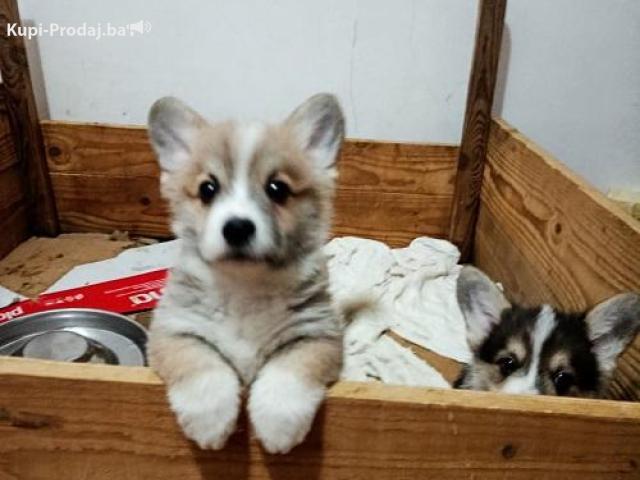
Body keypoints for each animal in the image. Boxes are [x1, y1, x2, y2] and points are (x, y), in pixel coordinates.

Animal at [146, 93, 345, 453]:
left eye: (277, 189)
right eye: (207, 189)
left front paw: (277, 426)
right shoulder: (173, 330)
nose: (237, 227)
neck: (245, 288)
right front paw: (211, 423)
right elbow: (201, 365)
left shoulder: (317, 334)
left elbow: (288, 372)